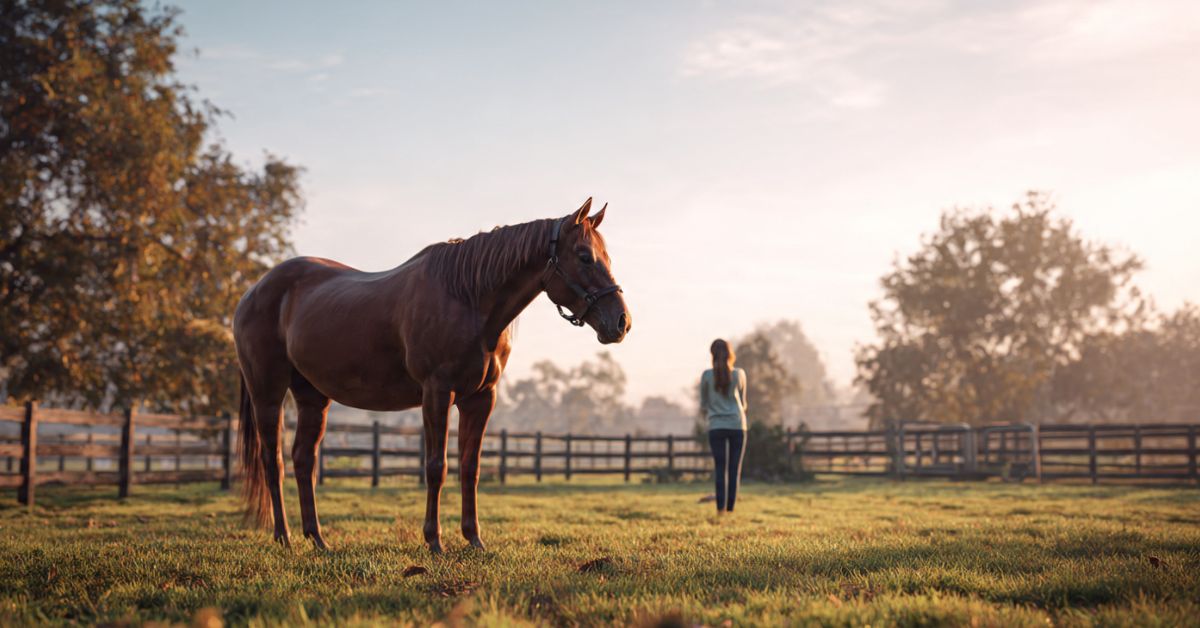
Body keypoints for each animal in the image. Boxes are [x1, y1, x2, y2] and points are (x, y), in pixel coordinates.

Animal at [233, 198, 630, 553]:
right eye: (584, 256)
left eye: (607, 257)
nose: (621, 323)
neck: (467, 298)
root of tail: (253, 291)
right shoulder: (437, 393)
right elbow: (437, 467)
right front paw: (434, 541)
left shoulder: (480, 398)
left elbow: (470, 467)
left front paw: (474, 539)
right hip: (268, 392)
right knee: (273, 460)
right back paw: (283, 536)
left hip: (313, 396)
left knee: (304, 460)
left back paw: (317, 539)